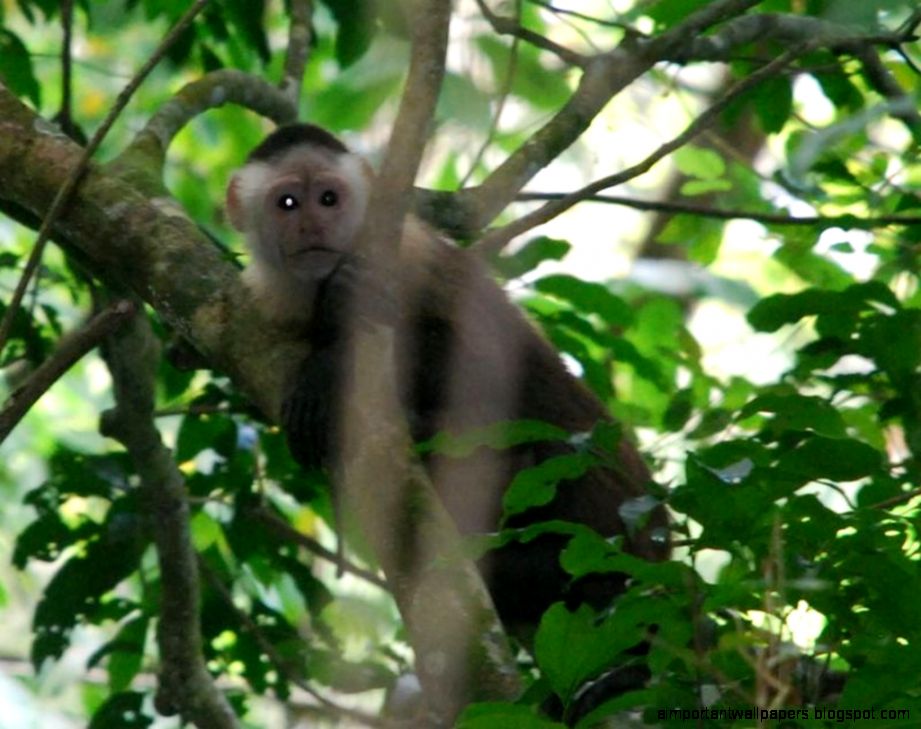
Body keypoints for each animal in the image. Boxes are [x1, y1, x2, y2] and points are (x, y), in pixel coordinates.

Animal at [226, 123, 669, 640]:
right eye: (288, 203)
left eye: (329, 199)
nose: (312, 227)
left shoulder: (401, 257)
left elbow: (483, 357)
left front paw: (327, 357)